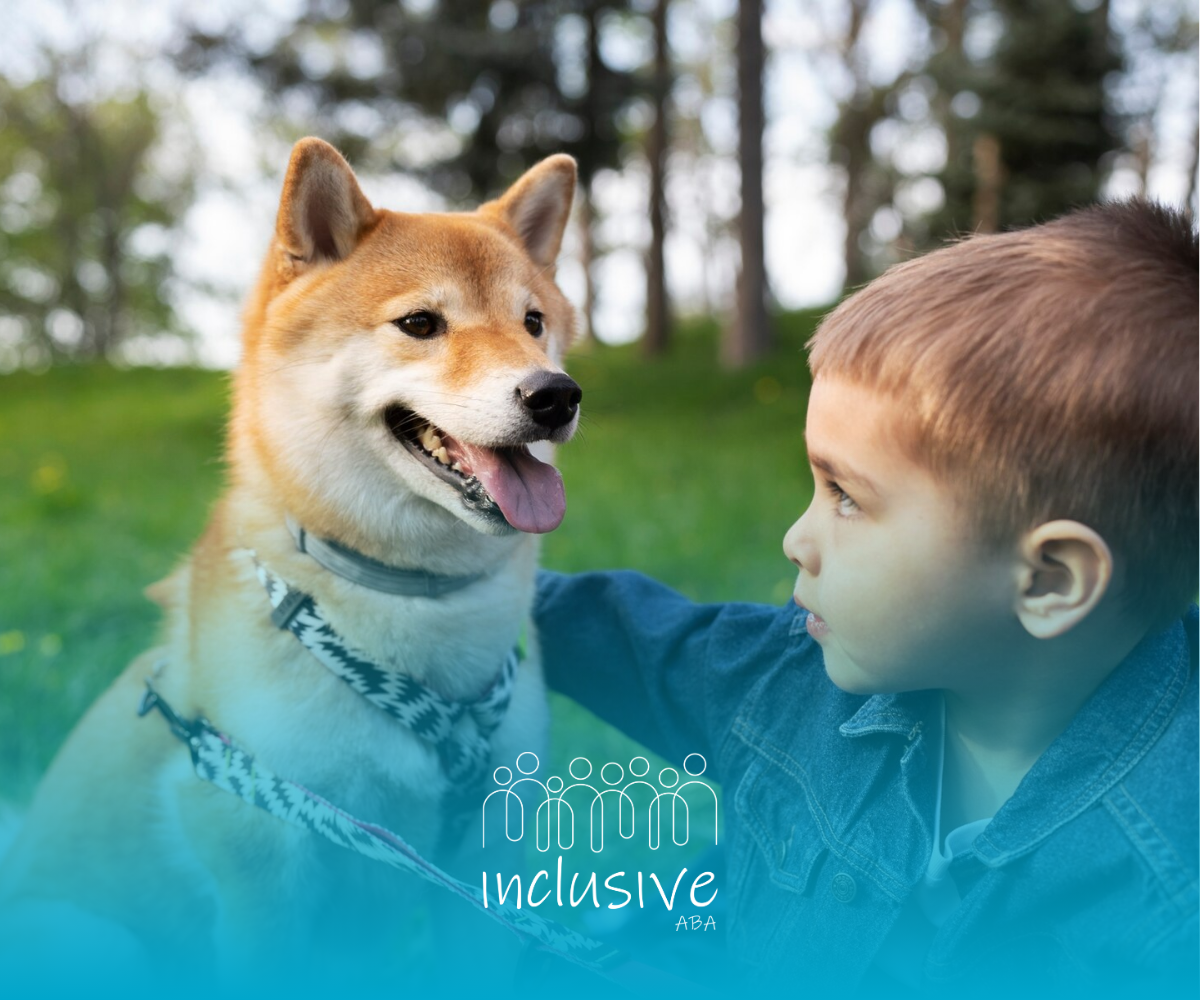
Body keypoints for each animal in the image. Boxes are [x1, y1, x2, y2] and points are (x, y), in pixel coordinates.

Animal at [0, 138, 580, 984]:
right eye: (420, 323)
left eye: (533, 322)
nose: (555, 394)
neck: (417, 600)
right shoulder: (259, 852)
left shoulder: (486, 860)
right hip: (98, 941)